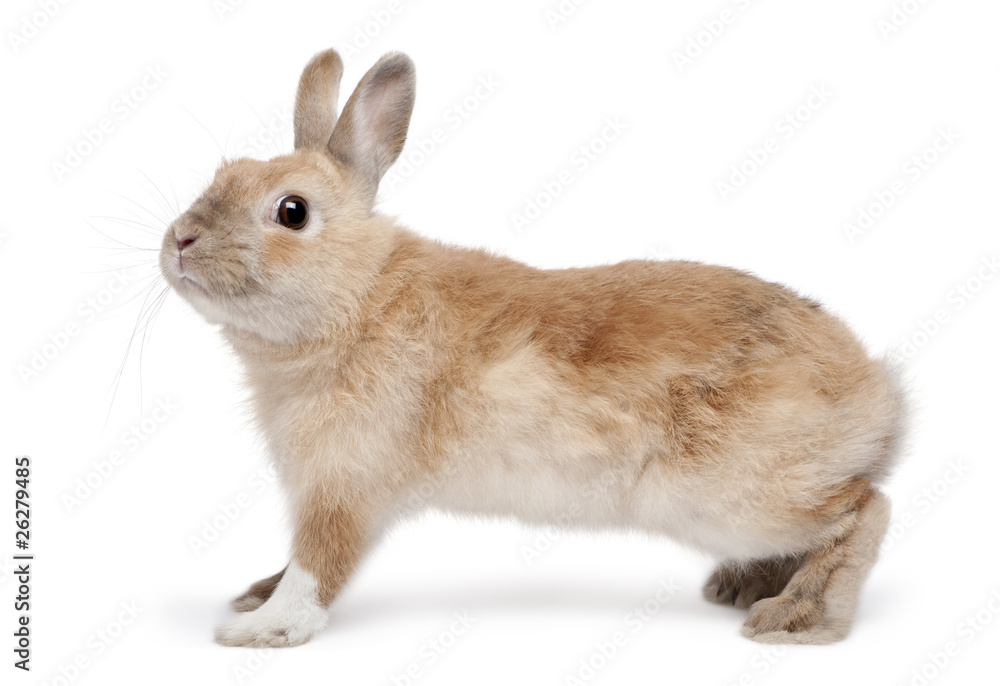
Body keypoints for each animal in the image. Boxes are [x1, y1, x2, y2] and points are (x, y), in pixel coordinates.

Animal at [159, 48, 905, 649]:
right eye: (222, 175)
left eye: (292, 211)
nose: (181, 241)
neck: (359, 298)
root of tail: (877, 397)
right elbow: (295, 561)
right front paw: (254, 596)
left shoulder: (344, 486)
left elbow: (318, 567)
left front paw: (258, 630)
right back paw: (743, 588)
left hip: (734, 499)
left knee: (864, 509)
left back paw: (797, 618)